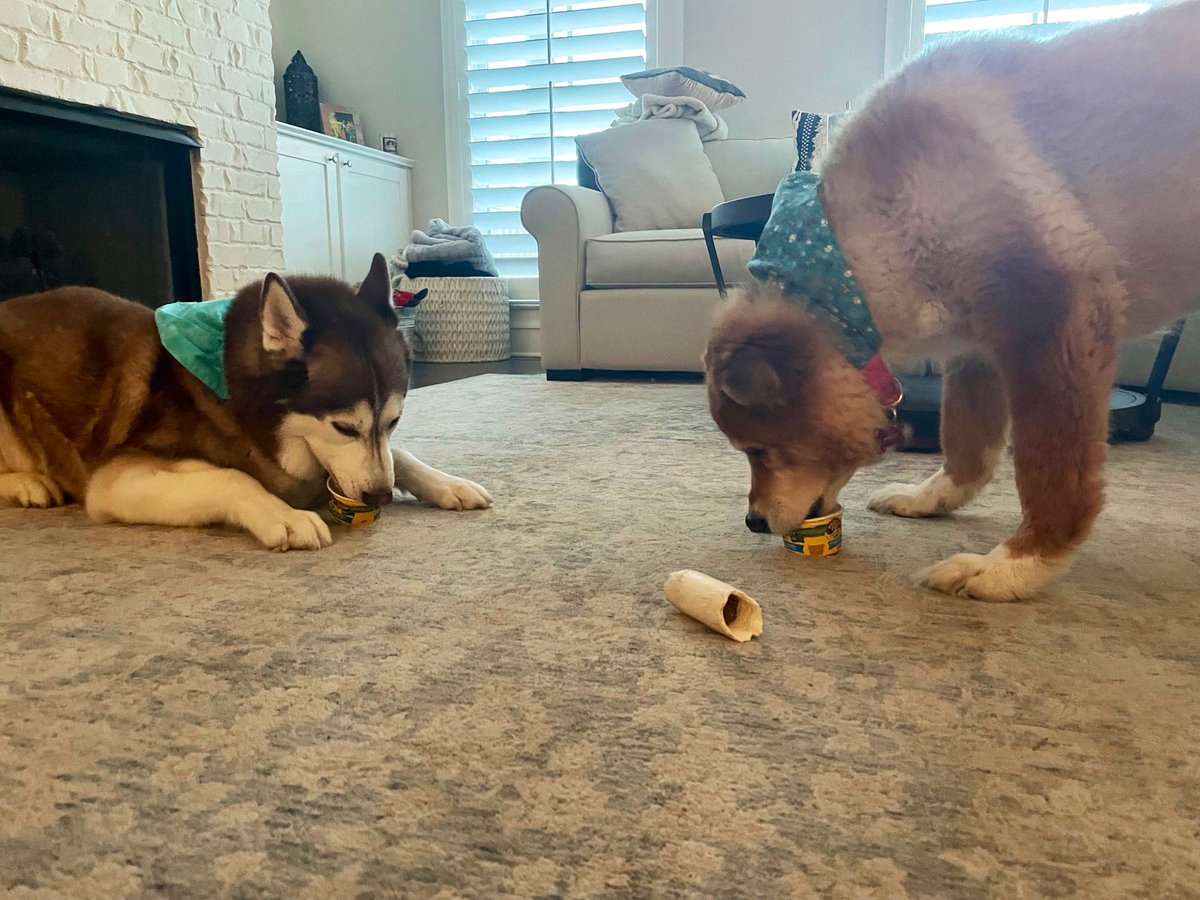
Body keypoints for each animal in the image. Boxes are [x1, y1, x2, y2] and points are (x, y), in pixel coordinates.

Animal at [0, 254, 492, 549]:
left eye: (393, 421)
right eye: (343, 427)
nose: (380, 497)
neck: (233, 394)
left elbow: (399, 456)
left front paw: (446, 483)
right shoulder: (114, 478)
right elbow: (231, 479)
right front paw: (284, 515)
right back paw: (28, 484)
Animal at [700, 5, 1200, 607]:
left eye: (761, 450)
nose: (752, 522)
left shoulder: (1052, 317)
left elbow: (1052, 474)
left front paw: (1016, 564)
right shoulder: (977, 350)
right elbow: (968, 446)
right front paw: (931, 498)